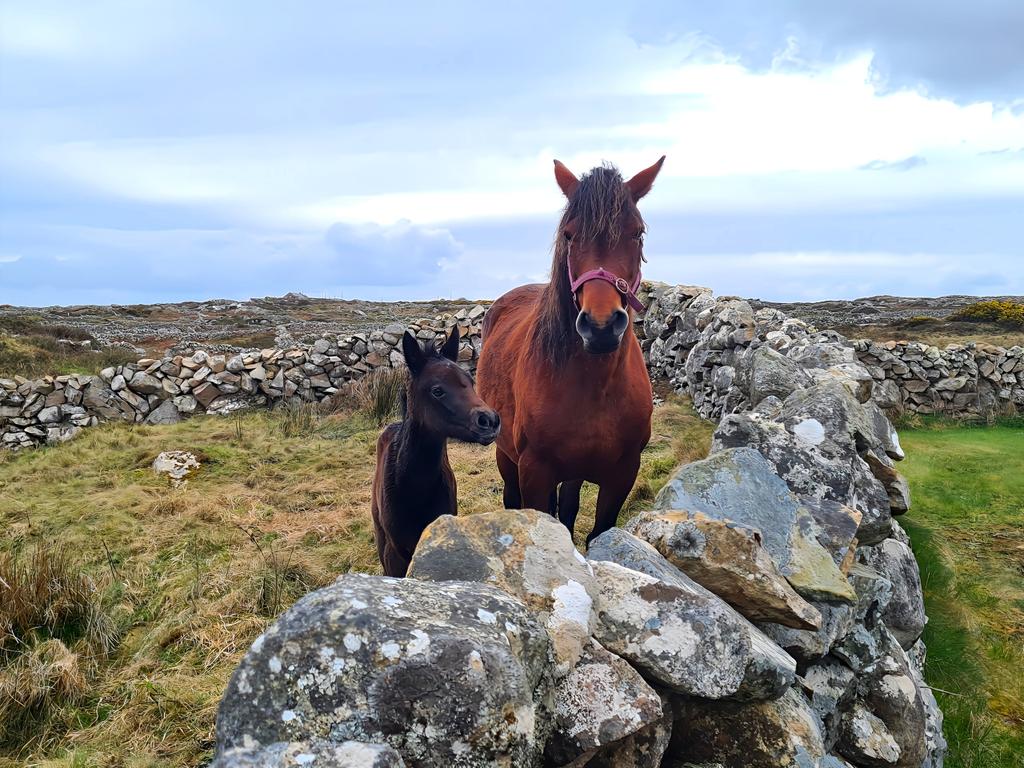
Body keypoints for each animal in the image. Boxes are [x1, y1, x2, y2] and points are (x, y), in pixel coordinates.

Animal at [477, 156, 663, 544]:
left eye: (637, 233)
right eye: (569, 234)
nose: (601, 326)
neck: (595, 386)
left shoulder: (623, 474)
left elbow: (596, 532)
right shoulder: (534, 472)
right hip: (506, 457)